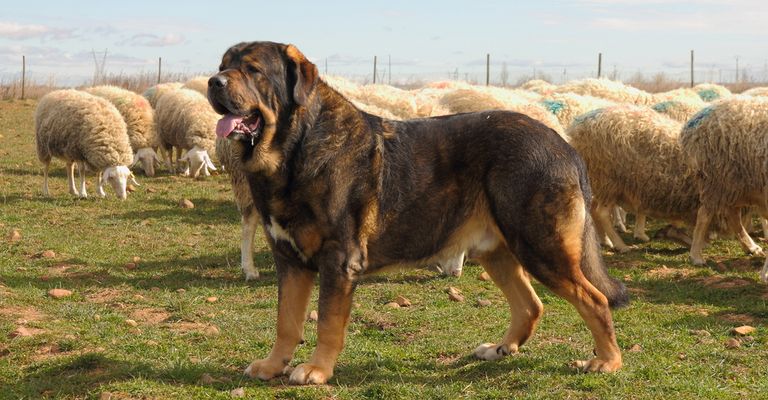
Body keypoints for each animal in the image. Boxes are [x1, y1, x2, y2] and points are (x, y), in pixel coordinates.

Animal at [207, 41, 628, 384]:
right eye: (224, 64)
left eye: (253, 70)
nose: (213, 81)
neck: (294, 149)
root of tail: (564, 145)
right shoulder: (289, 260)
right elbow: (286, 320)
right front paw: (273, 364)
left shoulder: (339, 259)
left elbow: (326, 321)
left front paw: (317, 370)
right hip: (498, 251)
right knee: (531, 304)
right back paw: (500, 349)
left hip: (541, 247)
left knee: (594, 300)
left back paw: (607, 361)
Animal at [568, 105, 700, 250]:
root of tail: (578, 127)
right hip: (609, 179)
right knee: (601, 213)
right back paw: (621, 245)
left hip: (602, 181)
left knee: (593, 208)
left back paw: (606, 241)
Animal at [680, 96, 768, 266]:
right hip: (718, 178)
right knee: (705, 214)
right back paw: (696, 256)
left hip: (736, 183)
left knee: (732, 214)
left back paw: (750, 247)